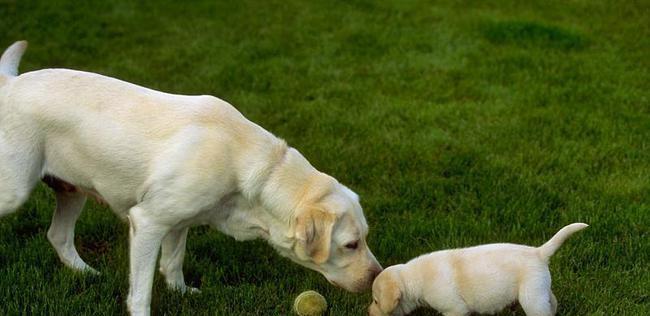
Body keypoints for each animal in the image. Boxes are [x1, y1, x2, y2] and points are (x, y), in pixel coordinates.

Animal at [0, 42, 380, 316]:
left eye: (364, 238)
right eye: (351, 244)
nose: (377, 277)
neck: (253, 167)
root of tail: (10, 83)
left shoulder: (178, 221)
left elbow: (173, 262)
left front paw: (182, 293)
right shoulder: (148, 221)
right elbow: (141, 291)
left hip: (72, 188)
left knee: (58, 235)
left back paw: (86, 273)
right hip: (15, 188)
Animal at [368, 223, 584, 314]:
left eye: (376, 301)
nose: (368, 313)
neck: (411, 277)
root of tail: (538, 252)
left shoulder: (454, 309)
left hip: (531, 298)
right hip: (540, 290)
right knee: (552, 303)